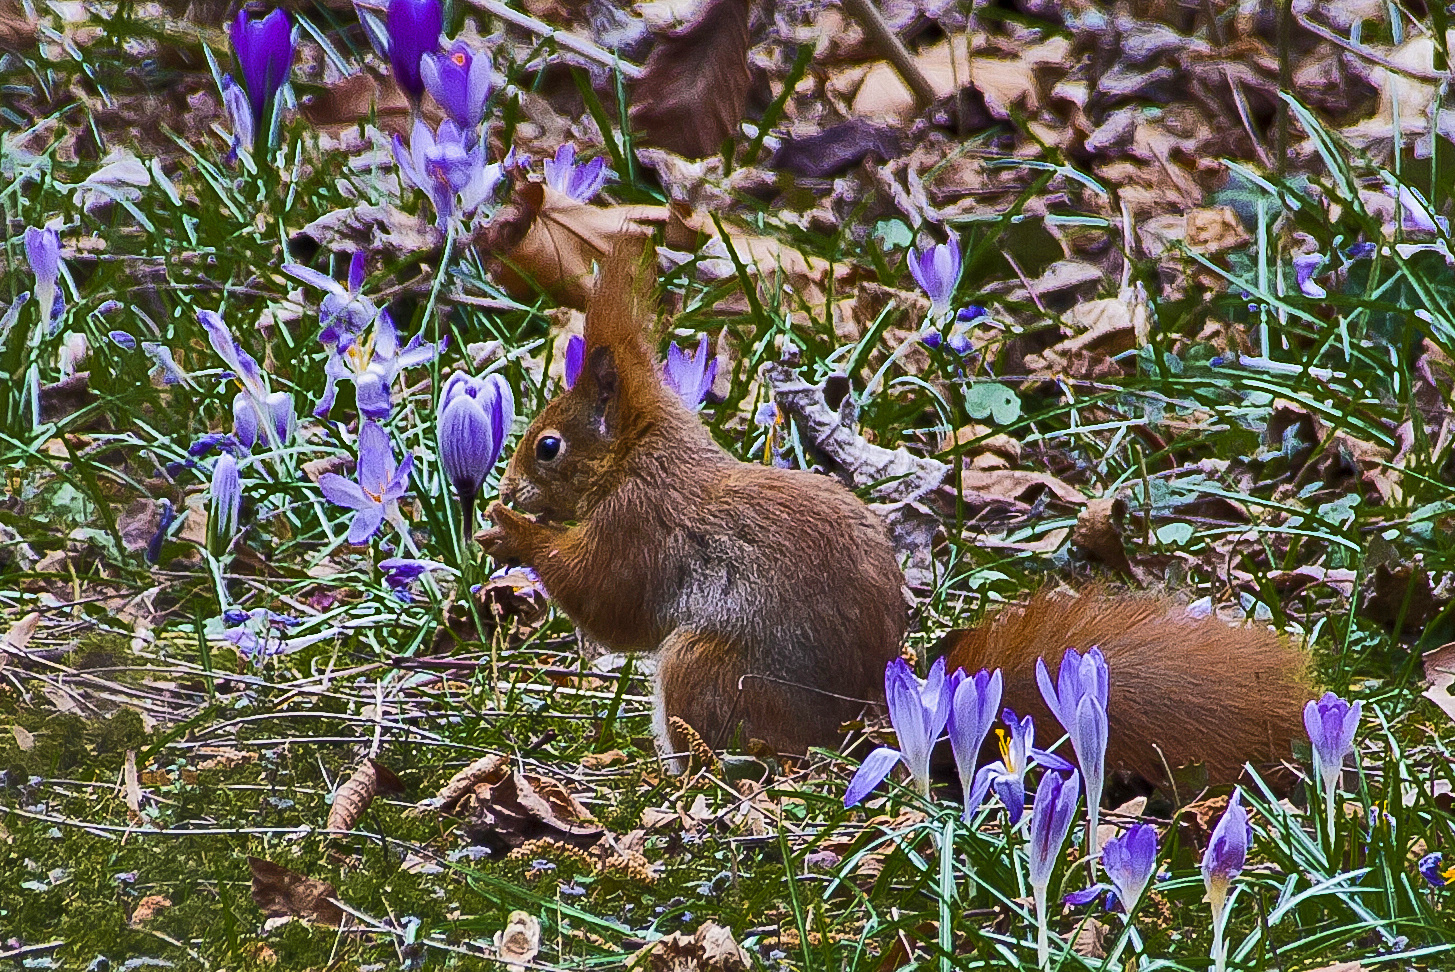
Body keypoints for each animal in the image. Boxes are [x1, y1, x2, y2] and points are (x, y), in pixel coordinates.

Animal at [474, 247, 1309, 785]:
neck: (642, 458)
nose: (504, 485)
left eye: (547, 446)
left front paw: (510, 533)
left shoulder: (641, 525)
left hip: (704, 668)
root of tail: (862, 729)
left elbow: (609, 600)